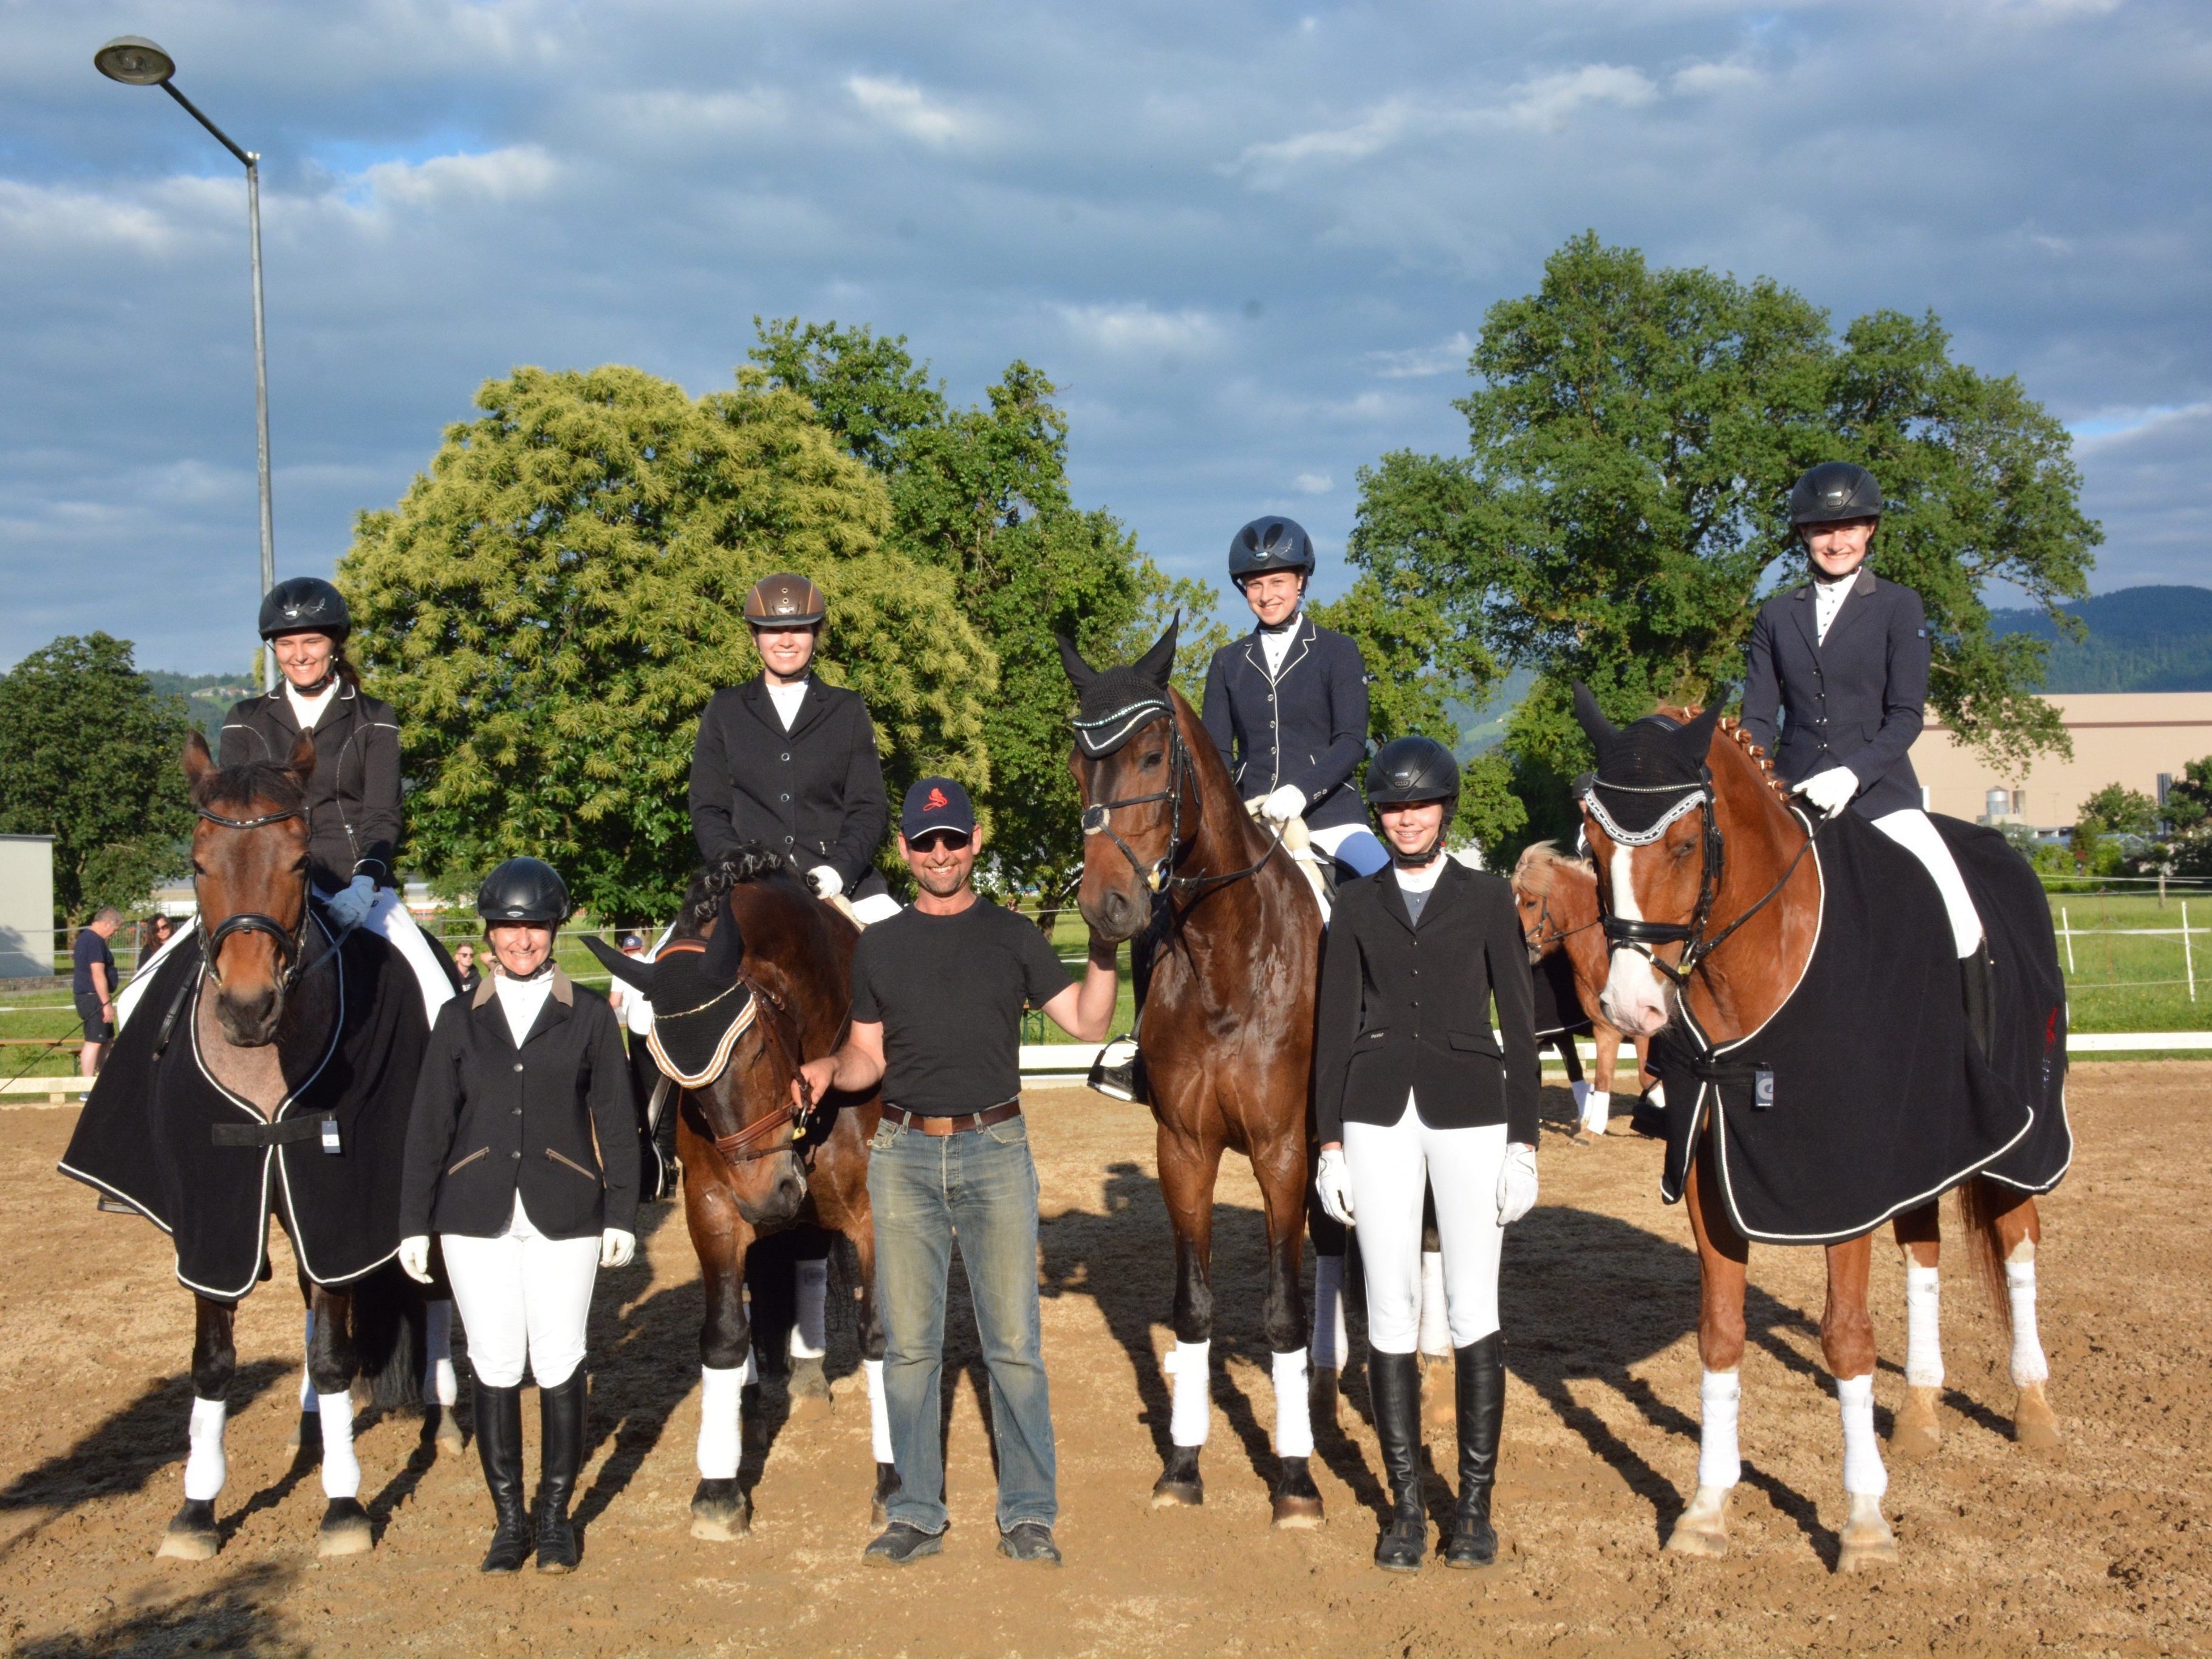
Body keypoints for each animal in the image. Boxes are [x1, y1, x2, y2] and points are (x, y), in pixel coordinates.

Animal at [61, 734, 444, 1566]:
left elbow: (335, 1353)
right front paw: (196, 1509)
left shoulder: (340, 1207)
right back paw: (311, 1423)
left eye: (299, 862)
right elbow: (212, 1363)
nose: (245, 1007)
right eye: (198, 861)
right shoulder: (217, 1209)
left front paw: (343, 1504)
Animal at [592, 858, 902, 1548]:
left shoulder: (877, 1214)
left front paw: (894, 1484)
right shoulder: (713, 1206)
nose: (768, 1196)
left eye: (755, 1047)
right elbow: (724, 1335)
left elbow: (881, 1333)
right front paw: (717, 1489)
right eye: (679, 1076)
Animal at [1048, 628, 1318, 1530]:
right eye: (1076, 763)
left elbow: (1283, 1312)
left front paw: (1296, 1480)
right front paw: (1184, 1463)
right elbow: (1193, 1309)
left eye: (1152, 753)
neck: (1229, 957)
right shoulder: (1184, 1148)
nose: (1106, 906)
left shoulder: (1281, 1149)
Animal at [1513, 849, 1654, 1141]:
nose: (1524, 949)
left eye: (1531, 904)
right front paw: (1591, 1126)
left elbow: (1646, 1076)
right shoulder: (1599, 1026)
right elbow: (1598, 1074)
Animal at [1575, 690, 2070, 1575]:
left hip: (2018, 1142)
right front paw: (1705, 1508)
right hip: (1921, 1143)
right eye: (1594, 850)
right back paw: (1919, 1413)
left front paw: (1864, 1521)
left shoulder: (1843, 1180)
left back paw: (2033, 1407)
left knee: (2018, 1246)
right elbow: (1720, 1334)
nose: (1630, 1008)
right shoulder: (1712, 1176)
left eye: (1680, 844)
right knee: (1924, 1255)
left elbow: (1845, 1339)